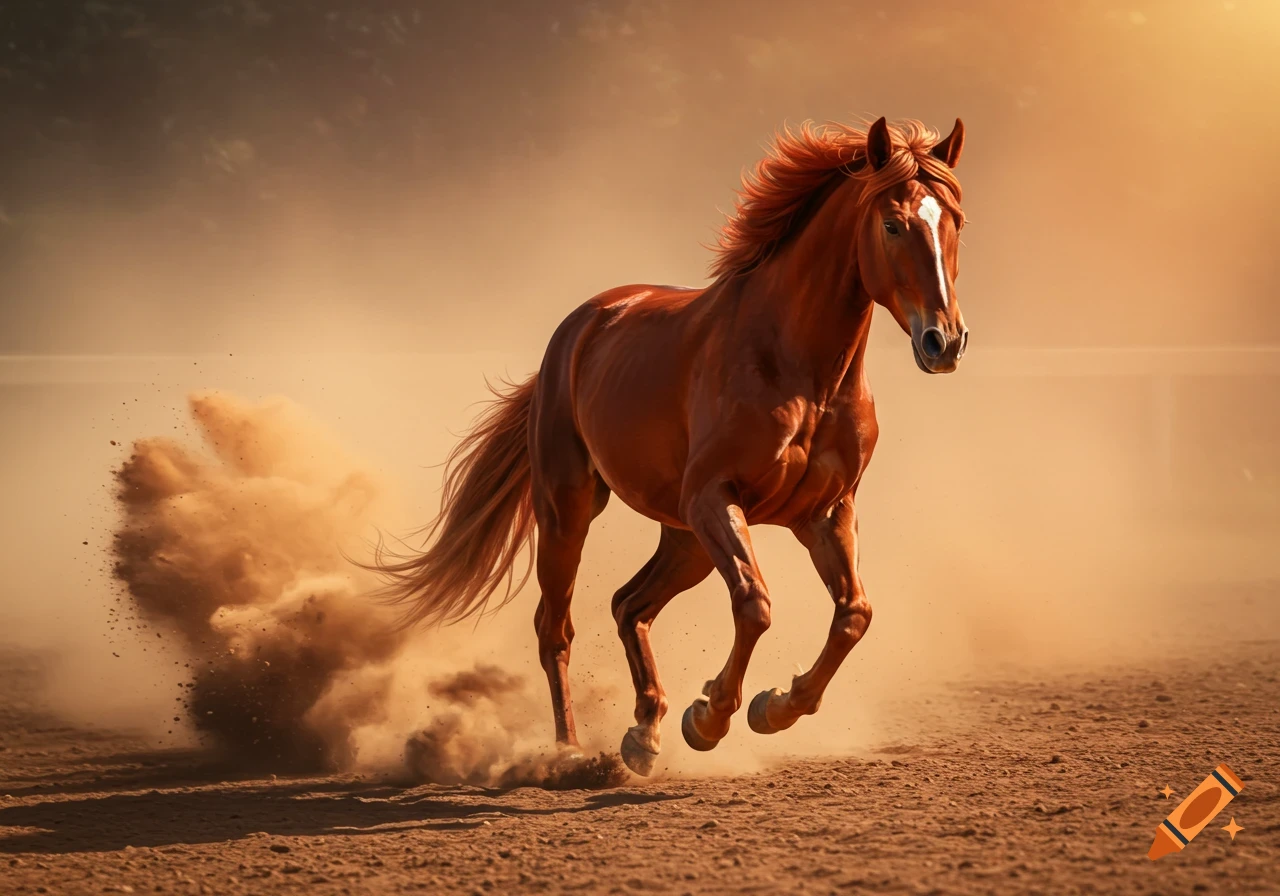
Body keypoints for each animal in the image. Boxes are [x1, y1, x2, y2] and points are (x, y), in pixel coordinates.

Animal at [370, 116, 969, 777]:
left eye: (955, 222)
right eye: (892, 224)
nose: (944, 341)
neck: (799, 369)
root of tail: (580, 327)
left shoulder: (825, 513)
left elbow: (853, 615)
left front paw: (772, 707)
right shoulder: (714, 499)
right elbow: (756, 603)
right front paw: (709, 719)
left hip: (686, 542)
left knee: (629, 605)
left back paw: (644, 733)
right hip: (572, 510)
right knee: (556, 627)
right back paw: (570, 751)